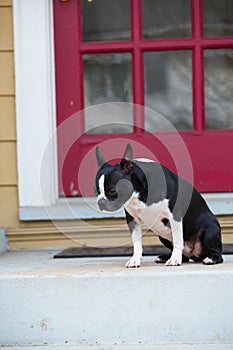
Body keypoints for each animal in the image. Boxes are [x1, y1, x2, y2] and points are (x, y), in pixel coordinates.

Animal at [95, 144, 224, 266]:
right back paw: (166, 257)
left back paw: (210, 258)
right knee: (185, 256)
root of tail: (195, 254)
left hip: (208, 231)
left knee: (217, 253)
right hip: (163, 236)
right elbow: (137, 242)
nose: (101, 202)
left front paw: (175, 259)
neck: (139, 193)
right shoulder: (132, 219)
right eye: (97, 191)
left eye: (112, 192)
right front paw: (135, 260)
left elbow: (178, 240)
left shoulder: (174, 215)